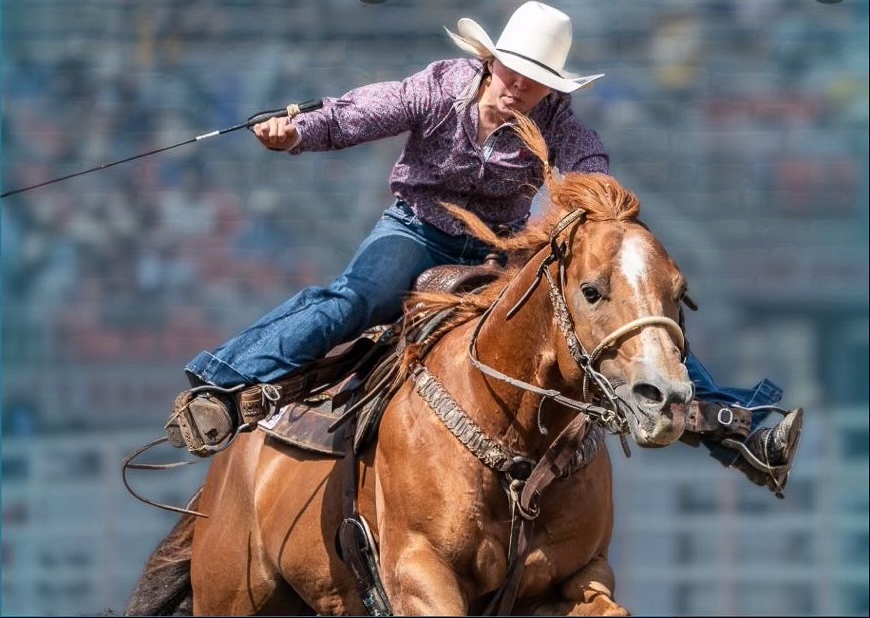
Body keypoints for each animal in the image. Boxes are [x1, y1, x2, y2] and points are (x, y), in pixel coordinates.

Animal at [124, 120, 696, 616]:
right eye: (592, 290)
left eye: (679, 291)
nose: (665, 398)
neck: (512, 438)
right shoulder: (419, 572)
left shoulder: (582, 575)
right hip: (232, 594)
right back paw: (207, 407)